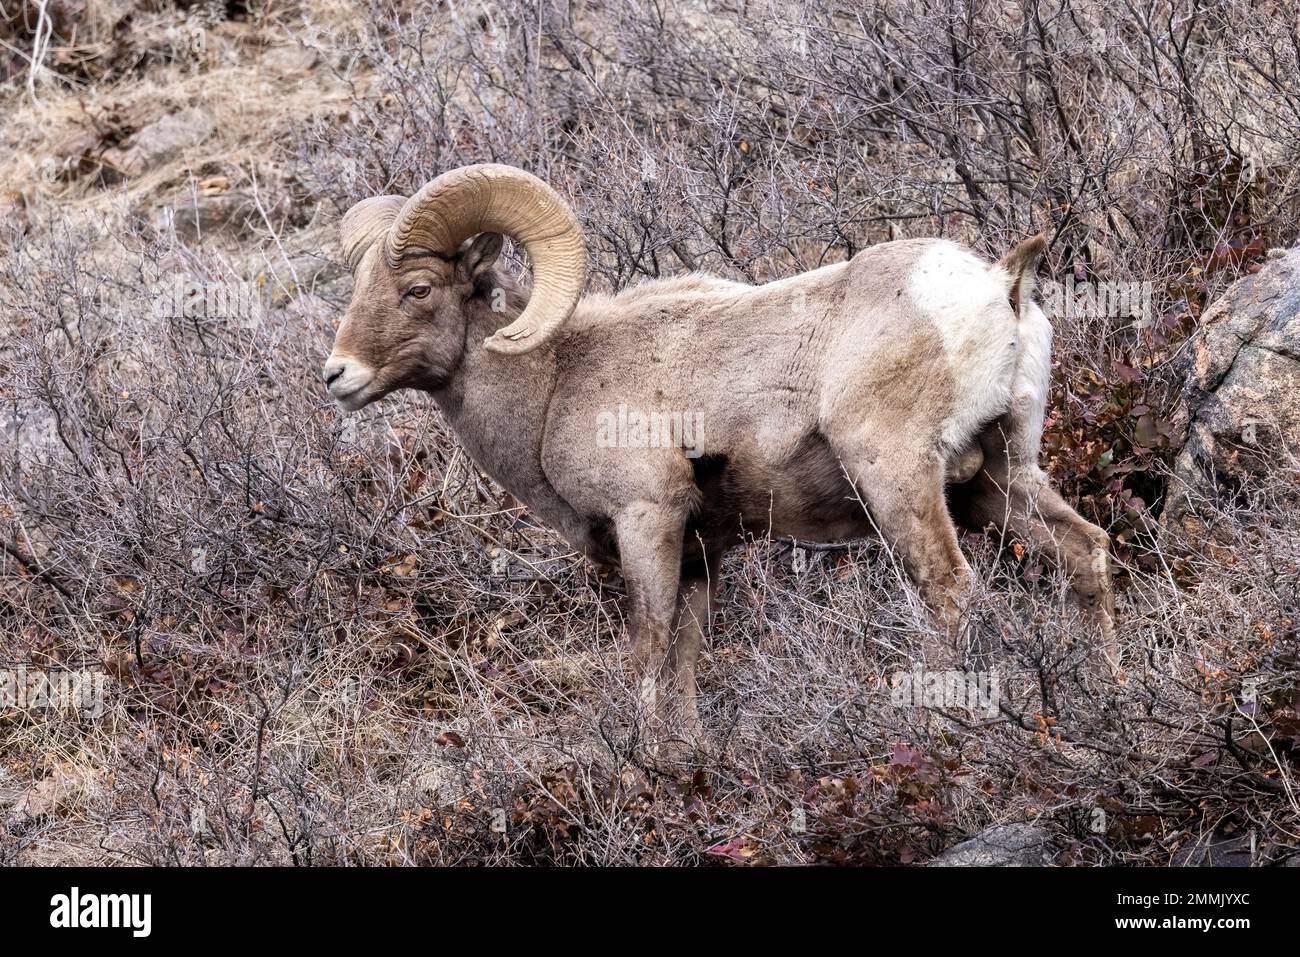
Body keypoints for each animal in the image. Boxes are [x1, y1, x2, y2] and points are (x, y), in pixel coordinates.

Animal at [325, 166, 1118, 738]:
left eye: (418, 288)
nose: (337, 376)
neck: (554, 380)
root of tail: (1000, 283)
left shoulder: (648, 520)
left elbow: (649, 650)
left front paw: (646, 767)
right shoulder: (702, 552)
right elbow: (684, 660)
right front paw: (690, 757)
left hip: (899, 479)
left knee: (949, 590)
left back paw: (939, 723)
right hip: (998, 479)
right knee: (1084, 549)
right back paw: (1097, 689)